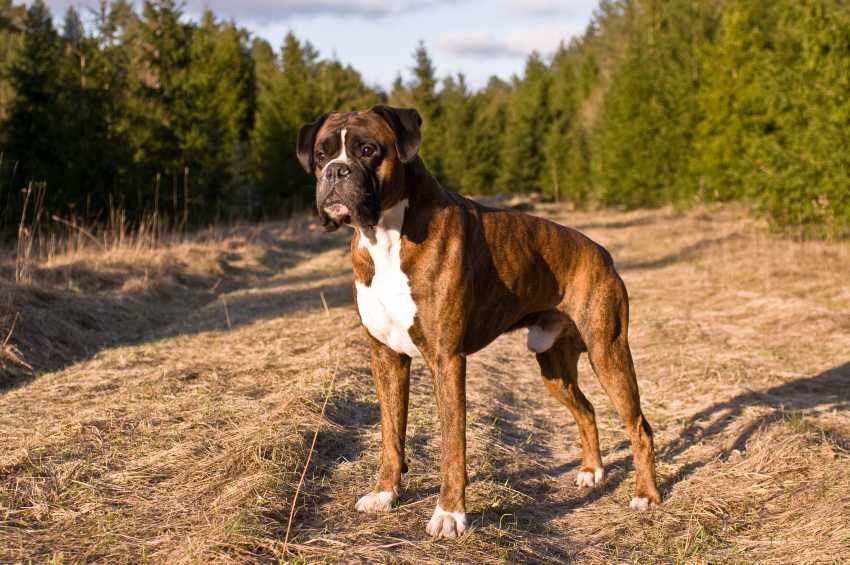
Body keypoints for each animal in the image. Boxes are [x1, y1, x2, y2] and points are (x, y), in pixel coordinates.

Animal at [298, 106, 664, 536]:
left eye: (368, 150)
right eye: (321, 155)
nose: (335, 172)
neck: (384, 237)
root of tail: (601, 251)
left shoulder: (447, 359)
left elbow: (452, 444)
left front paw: (449, 514)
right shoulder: (386, 358)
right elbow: (390, 434)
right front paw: (385, 494)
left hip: (608, 353)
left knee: (639, 427)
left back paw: (646, 495)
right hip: (553, 366)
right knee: (586, 410)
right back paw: (592, 471)